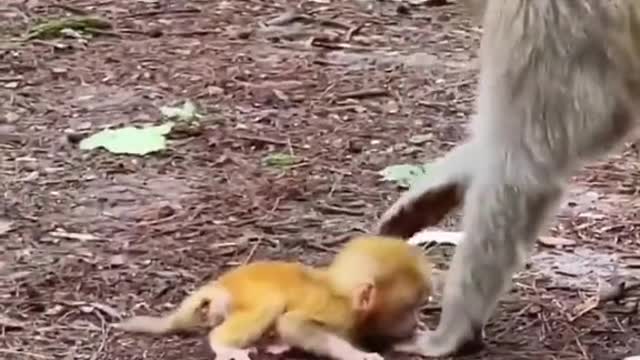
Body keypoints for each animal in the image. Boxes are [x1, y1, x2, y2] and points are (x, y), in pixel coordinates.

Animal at [115, 236, 436, 360]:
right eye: (406, 308)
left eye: (417, 308)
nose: (412, 322)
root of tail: (223, 283)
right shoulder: (338, 312)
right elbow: (293, 323)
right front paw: (358, 355)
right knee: (268, 307)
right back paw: (224, 344)